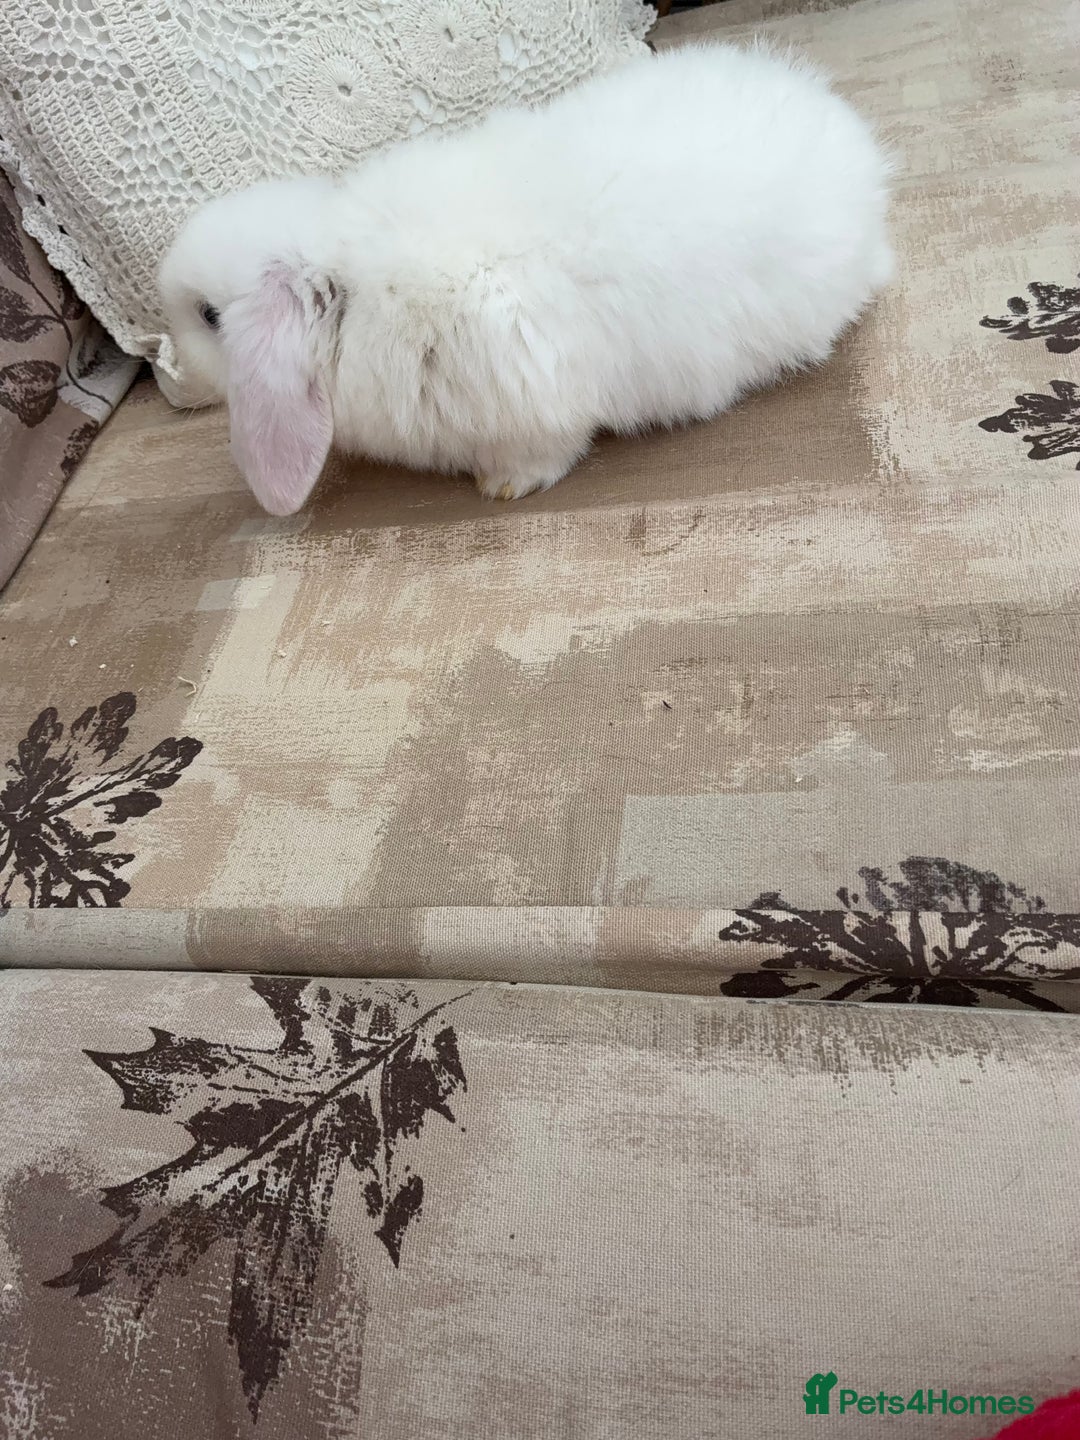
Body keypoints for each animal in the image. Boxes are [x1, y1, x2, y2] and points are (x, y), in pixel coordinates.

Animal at [158, 41, 893, 517]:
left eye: (208, 316)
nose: (172, 366)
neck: (354, 290)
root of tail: (853, 142)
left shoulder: (534, 399)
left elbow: (547, 452)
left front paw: (502, 487)